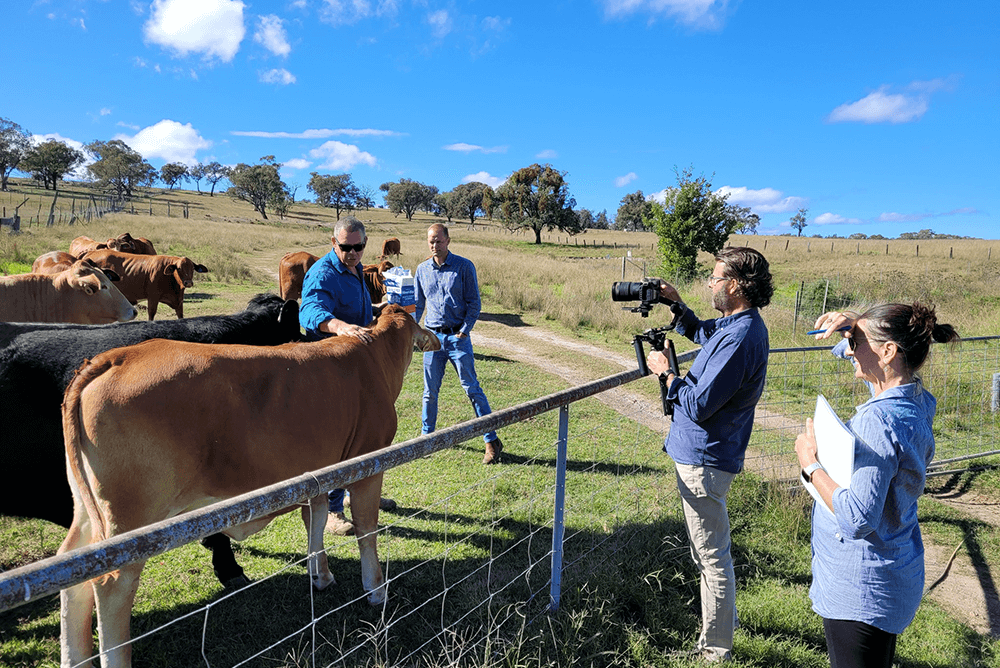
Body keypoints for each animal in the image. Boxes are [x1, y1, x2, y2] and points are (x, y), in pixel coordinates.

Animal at [59, 306, 438, 664]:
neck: (374, 357)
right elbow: (366, 529)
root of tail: (116, 357)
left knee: (72, 570)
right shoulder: (368, 465)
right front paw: (376, 590)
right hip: (132, 518)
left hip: (90, 512)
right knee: (111, 585)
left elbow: (314, 521)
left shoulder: (318, 471)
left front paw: (321, 576)